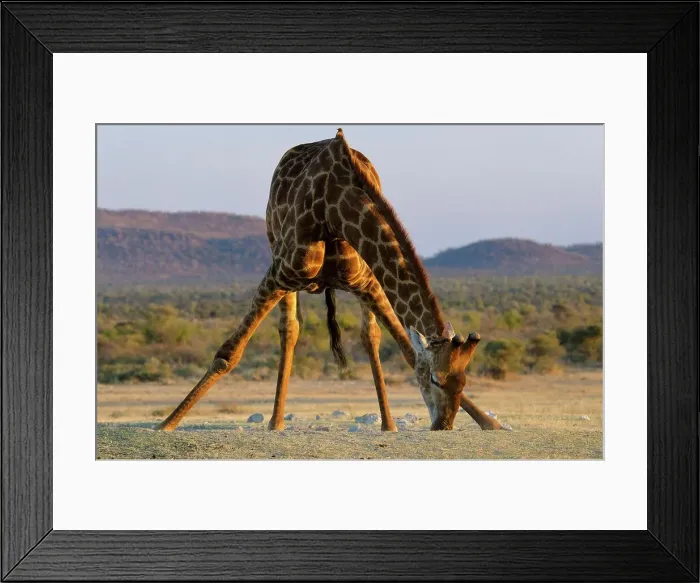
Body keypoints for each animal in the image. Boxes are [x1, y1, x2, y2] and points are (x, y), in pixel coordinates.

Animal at [156, 128, 507, 432]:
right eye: (434, 379)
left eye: (464, 382)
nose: (442, 425)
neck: (335, 210)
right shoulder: (279, 272)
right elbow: (229, 353)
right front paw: (167, 423)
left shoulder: (368, 282)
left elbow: (406, 349)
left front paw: (489, 422)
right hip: (279, 260)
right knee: (290, 330)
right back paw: (275, 422)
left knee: (369, 336)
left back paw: (387, 424)